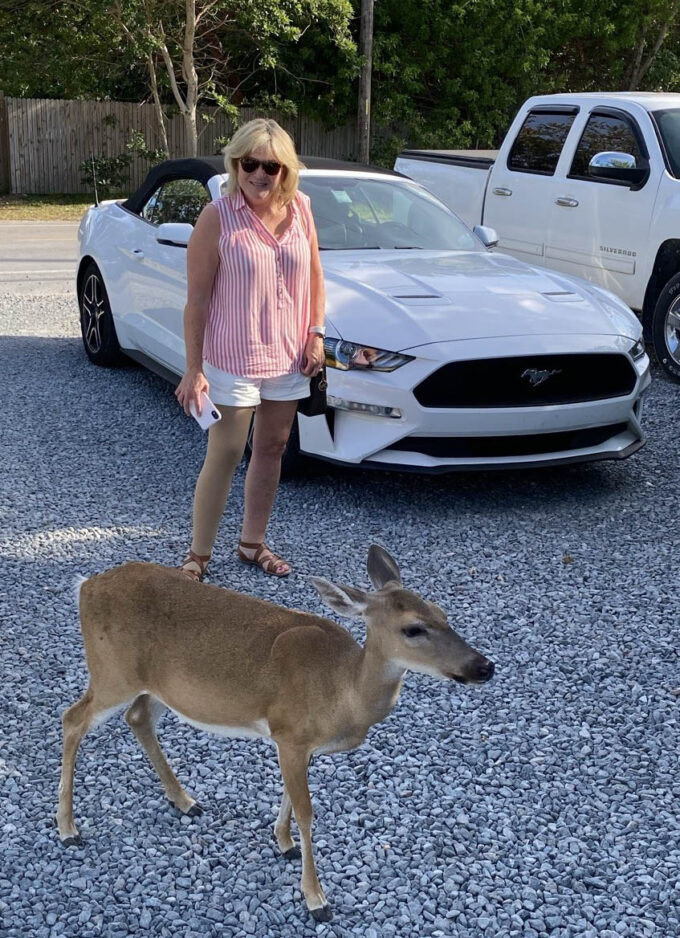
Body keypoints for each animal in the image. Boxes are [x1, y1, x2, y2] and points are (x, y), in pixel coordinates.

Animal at [57, 545, 494, 922]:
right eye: (413, 629)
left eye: (443, 613)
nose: (484, 666)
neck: (341, 689)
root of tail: (86, 586)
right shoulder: (290, 732)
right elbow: (307, 811)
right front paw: (316, 898)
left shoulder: (295, 741)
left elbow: (289, 796)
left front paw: (283, 843)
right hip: (111, 671)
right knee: (72, 718)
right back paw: (67, 829)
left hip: (159, 686)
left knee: (137, 717)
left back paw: (185, 801)